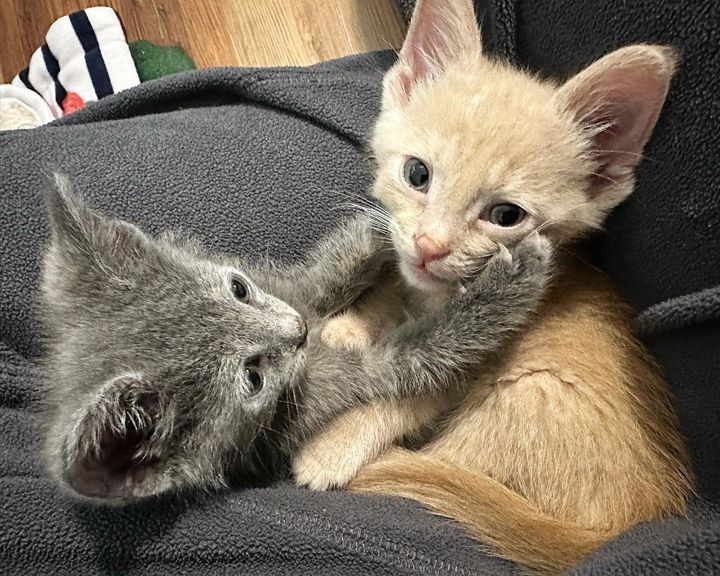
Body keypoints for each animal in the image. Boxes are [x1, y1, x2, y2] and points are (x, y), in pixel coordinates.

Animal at [39, 176, 552, 504]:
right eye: (252, 377)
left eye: (239, 288)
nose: (299, 332)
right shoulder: (328, 390)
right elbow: (421, 354)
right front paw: (508, 282)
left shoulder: (290, 290)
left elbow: (332, 268)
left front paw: (388, 221)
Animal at [292, 1, 692, 572]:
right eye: (417, 174)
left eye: (506, 216)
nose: (431, 245)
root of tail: (612, 530)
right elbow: (396, 287)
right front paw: (356, 325)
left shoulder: (468, 365)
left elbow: (401, 399)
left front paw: (330, 449)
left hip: (525, 392)